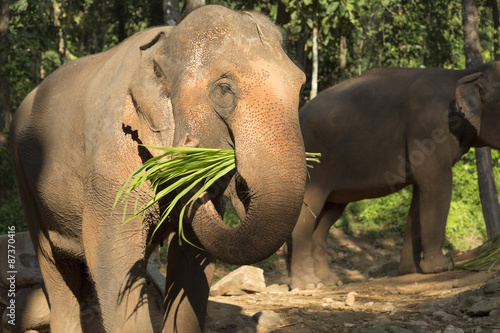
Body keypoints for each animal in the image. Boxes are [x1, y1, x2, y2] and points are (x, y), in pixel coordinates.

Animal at [11, 5, 306, 332]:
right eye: (224, 89)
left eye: (301, 85)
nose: (190, 144)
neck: (162, 47)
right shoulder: (112, 161)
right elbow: (111, 256)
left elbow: (192, 259)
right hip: (26, 180)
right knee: (54, 267)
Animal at [290, 61, 500, 290]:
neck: (465, 73)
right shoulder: (428, 128)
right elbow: (437, 185)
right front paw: (441, 267)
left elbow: (420, 195)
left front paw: (410, 270)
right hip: (312, 166)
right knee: (307, 210)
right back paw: (309, 285)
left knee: (326, 218)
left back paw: (329, 281)